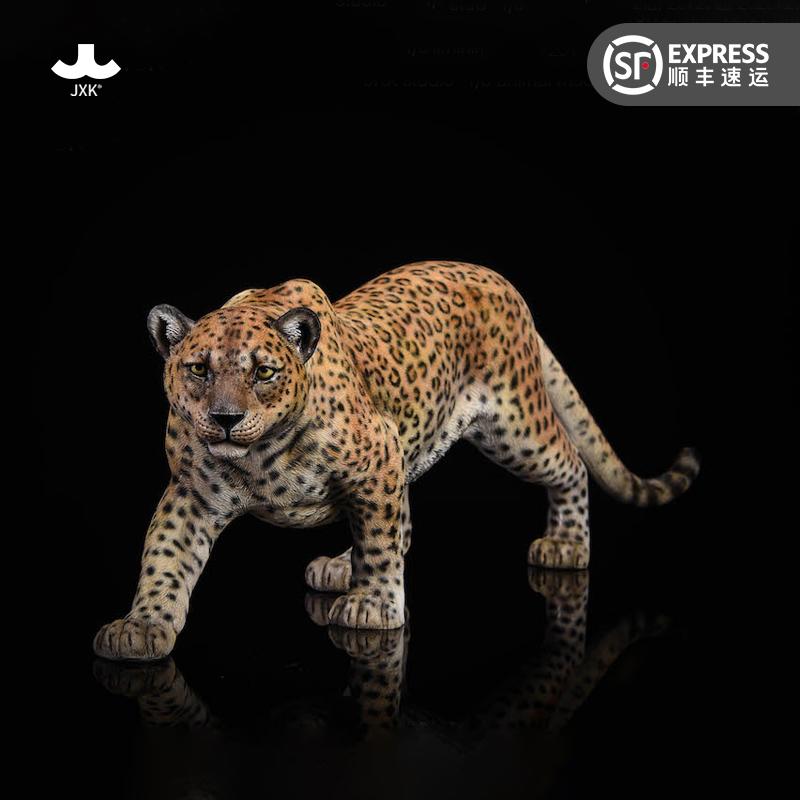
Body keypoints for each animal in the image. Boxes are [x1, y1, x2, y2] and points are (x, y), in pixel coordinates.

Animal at [93, 260, 699, 661]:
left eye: (263, 372)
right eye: (198, 368)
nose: (223, 418)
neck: (261, 455)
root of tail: (498, 279)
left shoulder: (377, 460)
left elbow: (382, 542)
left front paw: (374, 607)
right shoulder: (190, 493)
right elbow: (164, 559)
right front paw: (141, 627)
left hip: (516, 425)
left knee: (569, 462)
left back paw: (566, 545)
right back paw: (340, 566)